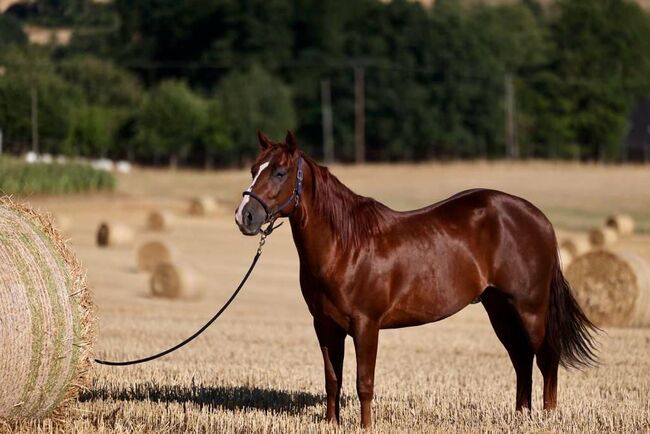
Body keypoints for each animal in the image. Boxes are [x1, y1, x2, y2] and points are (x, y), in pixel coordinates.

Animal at [234, 131, 598, 428]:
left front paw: (366, 426)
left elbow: (364, 381)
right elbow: (332, 379)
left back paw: (548, 417)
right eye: (253, 170)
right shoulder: (325, 326)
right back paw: (521, 416)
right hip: (499, 309)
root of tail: (539, 219)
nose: (244, 216)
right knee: (522, 358)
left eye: (279, 172)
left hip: (530, 309)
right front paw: (331, 423)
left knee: (546, 357)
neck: (346, 245)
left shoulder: (366, 324)